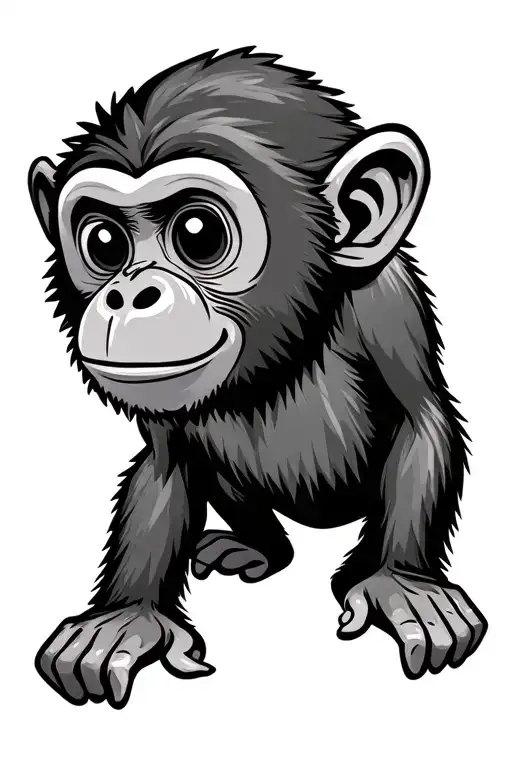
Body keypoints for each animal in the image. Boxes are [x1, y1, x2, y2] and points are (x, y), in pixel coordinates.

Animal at [29, 48, 487, 710]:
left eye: (198, 233)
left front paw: (402, 583)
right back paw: (259, 548)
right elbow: (166, 463)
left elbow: (421, 418)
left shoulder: (385, 303)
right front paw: (127, 619)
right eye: (105, 242)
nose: (127, 294)